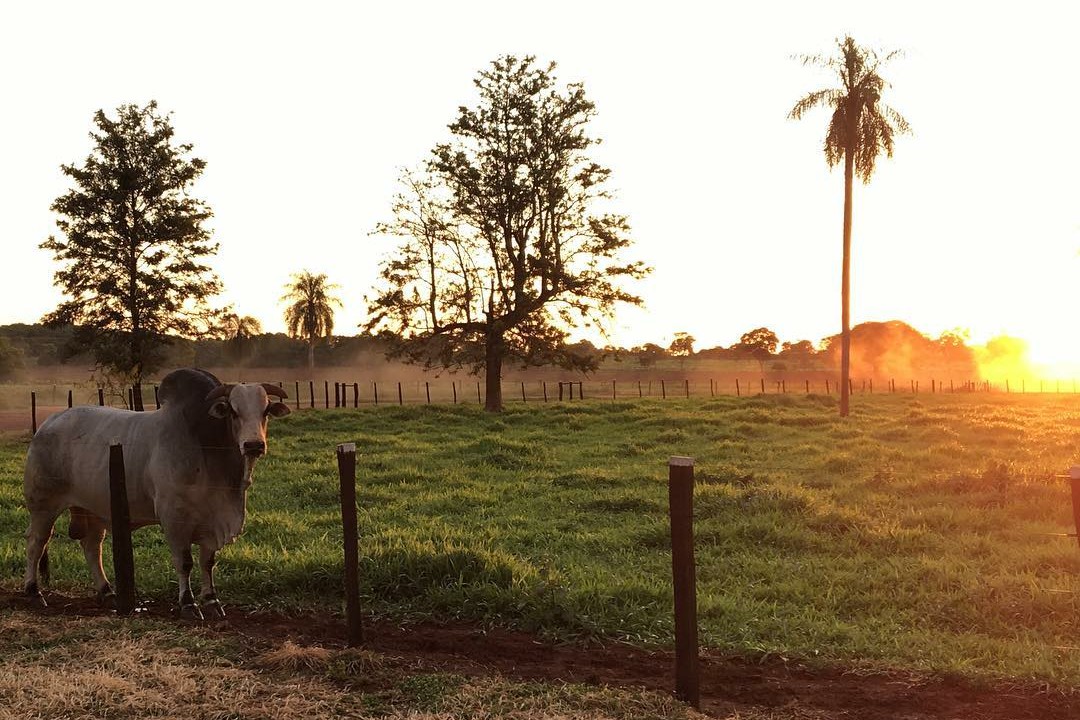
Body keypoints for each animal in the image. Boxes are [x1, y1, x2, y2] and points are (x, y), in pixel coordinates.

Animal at [23, 369, 291, 617]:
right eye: (234, 411)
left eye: (265, 410)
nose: (254, 445)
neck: (207, 448)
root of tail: (48, 423)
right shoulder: (174, 518)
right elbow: (185, 562)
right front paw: (188, 604)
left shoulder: (212, 520)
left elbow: (207, 562)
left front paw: (212, 600)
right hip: (43, 505)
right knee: (37, 543)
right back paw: (33, 592)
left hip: (94, 508)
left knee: (91, 546)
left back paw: (107, 592)